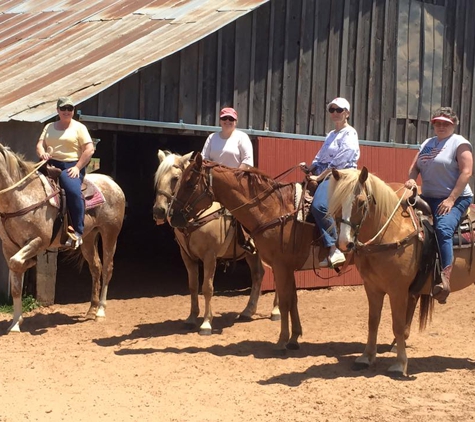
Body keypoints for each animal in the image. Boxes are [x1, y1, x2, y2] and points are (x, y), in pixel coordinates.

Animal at [152, 150, 278, 334]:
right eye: (158, 178)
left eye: (176, 178)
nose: (158, 211)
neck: (196, 217)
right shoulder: (187, 256)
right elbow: (193, 286)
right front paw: (191, 318)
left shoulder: (209, 256)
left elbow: (207, 287)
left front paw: (206, 323)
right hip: (251, 253)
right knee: (258, 274)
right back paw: (247, 311)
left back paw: (276, 311)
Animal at [328, 167, 475, 376]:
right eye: (337, 201)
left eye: (362, 202)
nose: (344, 243)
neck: (390, 232)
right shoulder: (372, 288)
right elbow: (373, 322)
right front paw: (366, 357)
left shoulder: (398, 291)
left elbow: (398, 325)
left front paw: (399, 364)